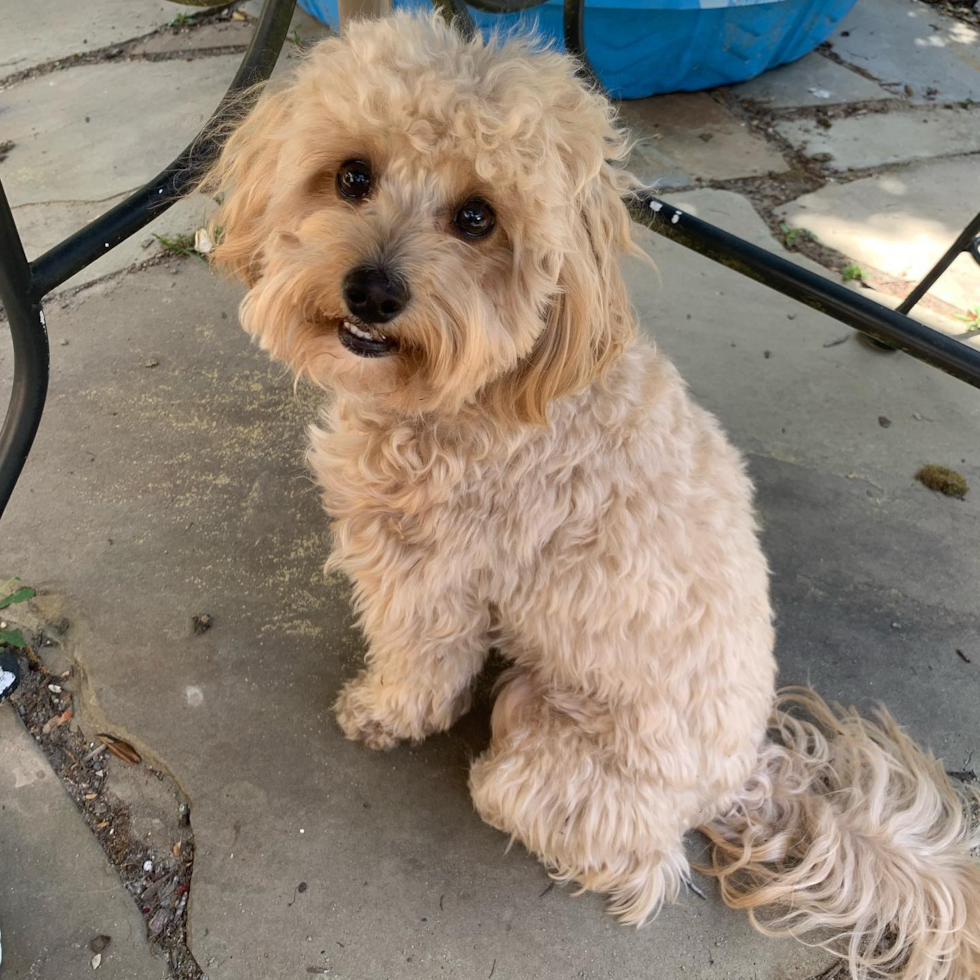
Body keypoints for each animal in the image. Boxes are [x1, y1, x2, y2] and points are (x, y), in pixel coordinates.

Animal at [201, 11, 980, 976]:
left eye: (477, 217)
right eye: (352, 176)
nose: (372, 291)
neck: (490, 391)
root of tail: (744, 776)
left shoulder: (433, 577)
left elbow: (420, 665)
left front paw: (382, 712)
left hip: (544, 741)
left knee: (639, 864)